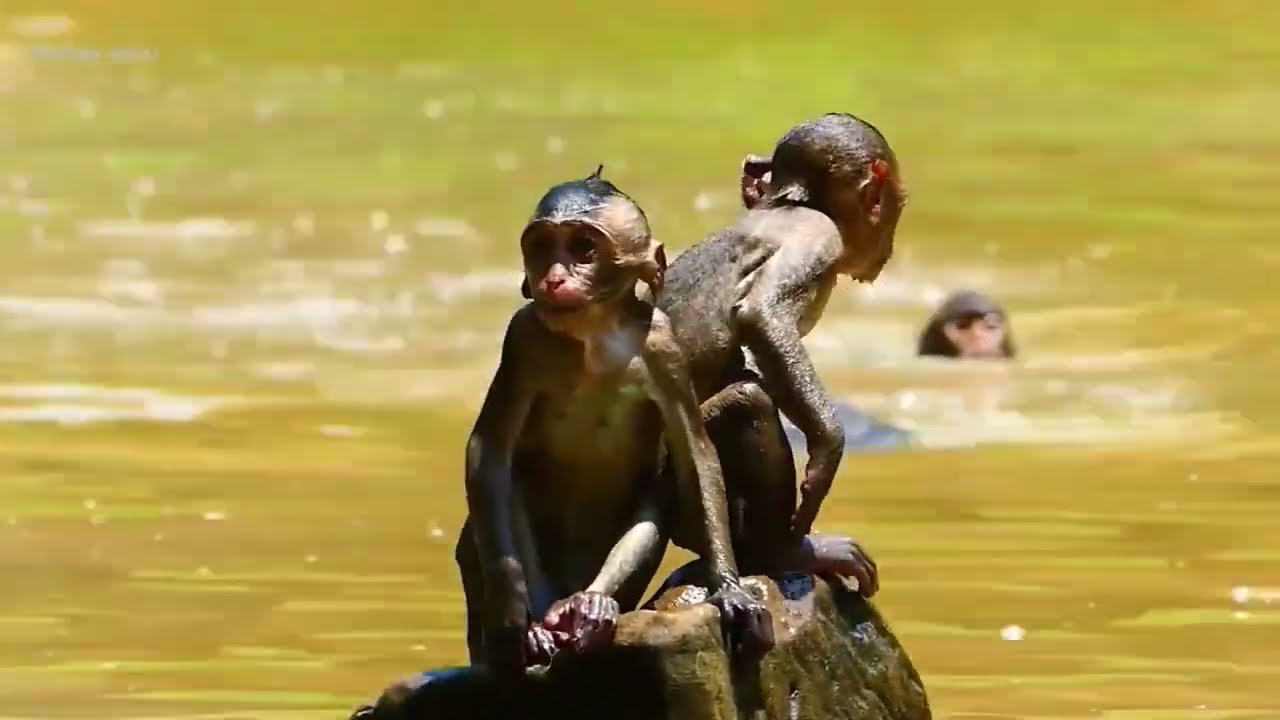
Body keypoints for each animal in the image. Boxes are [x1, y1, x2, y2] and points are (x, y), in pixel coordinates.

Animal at [456, 166, 773, 685]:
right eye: (541, 247)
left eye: (583, 247)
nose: (554, 277)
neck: (594, 332)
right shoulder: (521, 337)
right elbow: (490, 454)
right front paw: (515, 618)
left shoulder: (664, 344)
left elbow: (694, 454)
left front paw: (729, 588)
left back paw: (594, 605)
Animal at [646, 113, 909, 593]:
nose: (890, 239)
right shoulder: (818, 236)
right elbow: (763, 315)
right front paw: (826, 453)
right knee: (749, 403)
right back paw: (784, 552)